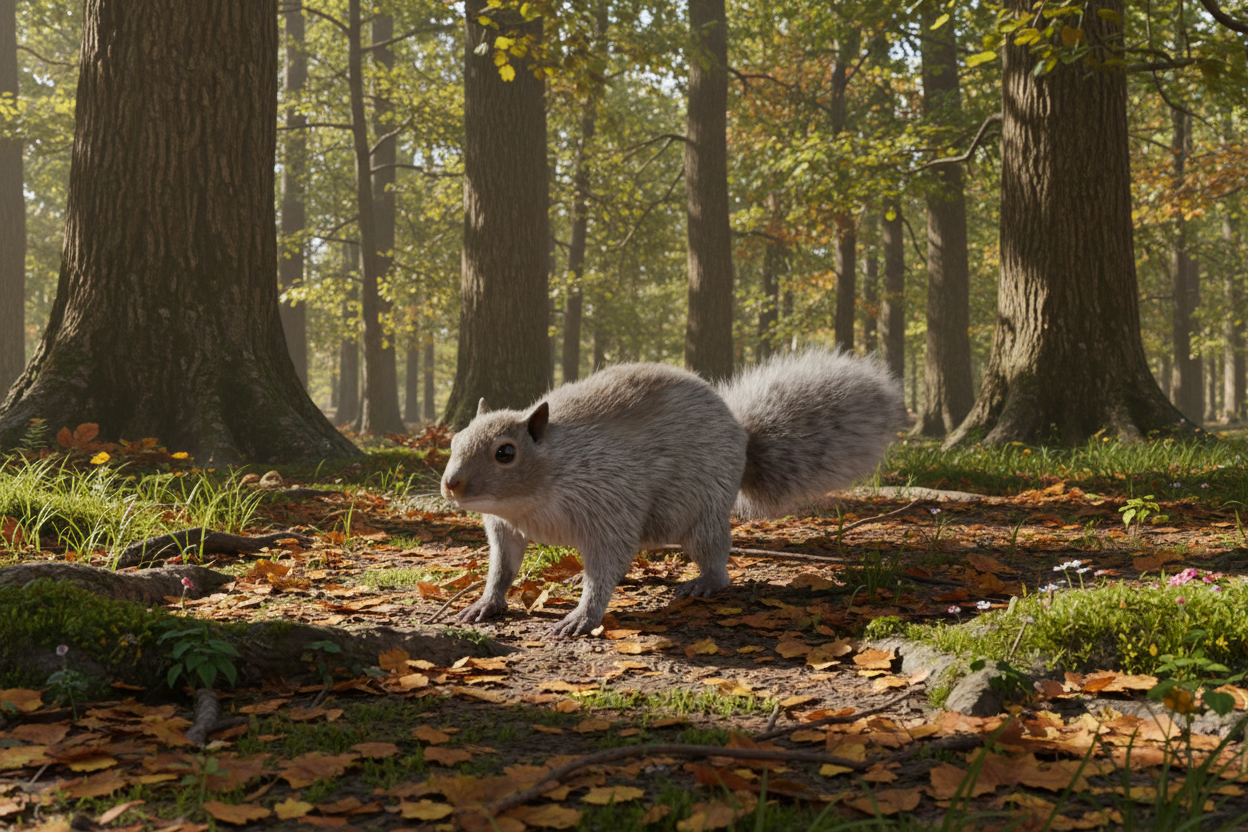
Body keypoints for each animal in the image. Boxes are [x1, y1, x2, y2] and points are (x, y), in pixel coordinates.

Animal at [441, 349, 906, 636]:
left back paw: (703, 583)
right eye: (455, 438)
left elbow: (605, 564)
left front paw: (582, 616)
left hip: (704, 518)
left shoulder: (610, 504)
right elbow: (502, 567)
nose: (451, 484)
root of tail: (743, 440)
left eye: (506, 453)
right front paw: (486, 602)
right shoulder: (504, 528)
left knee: (716, 560)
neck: (531, 499)